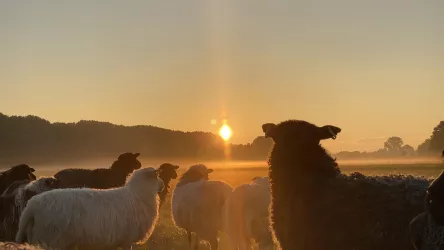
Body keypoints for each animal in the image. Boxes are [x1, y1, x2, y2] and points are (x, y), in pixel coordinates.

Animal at [15, 166, 166, 250]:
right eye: (157, 176)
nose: (163, 185)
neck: (138, 194)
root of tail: (31, 206)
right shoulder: (127, 239)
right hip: (50, 238)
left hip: (37, 236)